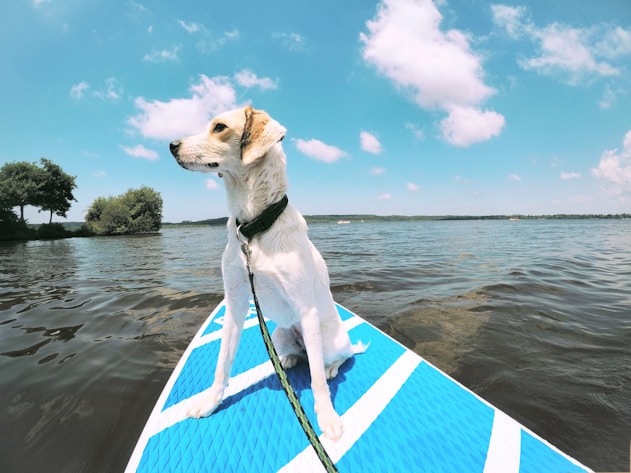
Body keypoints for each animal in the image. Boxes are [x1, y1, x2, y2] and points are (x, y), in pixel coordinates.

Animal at [170, 105, 368, 440]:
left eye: (219, 127)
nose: (171, 145)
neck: (254, 229)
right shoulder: (236, 301)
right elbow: (222, 364)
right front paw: (210, 403)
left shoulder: (306, 308)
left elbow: (316, 379)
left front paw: (327, 418)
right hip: (279, 333)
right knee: (303, 357)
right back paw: (287, 358)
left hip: (328, 339)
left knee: (337, 358)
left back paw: (331, 367)